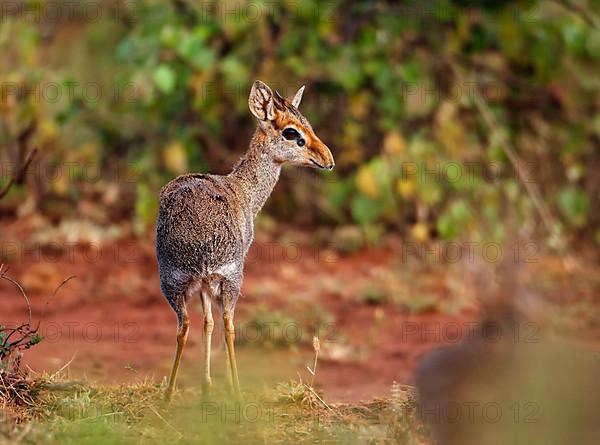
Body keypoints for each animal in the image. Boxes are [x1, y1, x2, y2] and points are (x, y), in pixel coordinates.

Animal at [156, 80, 332, 402]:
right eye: (291, 132)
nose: (328, 160)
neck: (244, 191)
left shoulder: (204, 284)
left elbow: (207, 323)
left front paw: (206, 386)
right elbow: (220, 325)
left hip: (174, 281)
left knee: (185, 325)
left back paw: (169, 395)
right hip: (231, 278)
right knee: (229, 325)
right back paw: (237, 394)